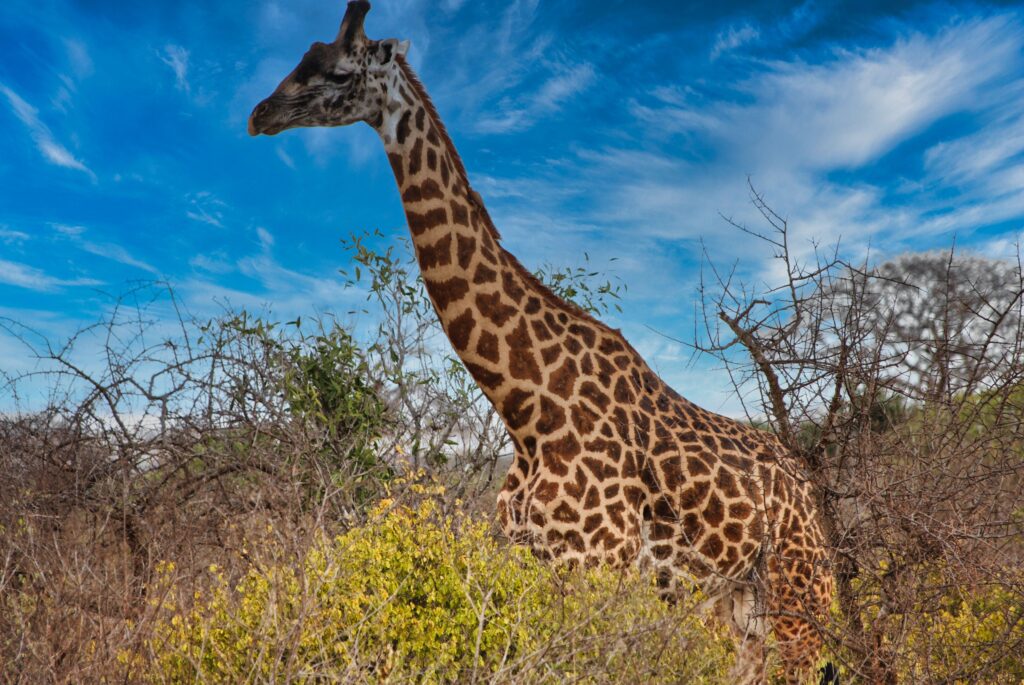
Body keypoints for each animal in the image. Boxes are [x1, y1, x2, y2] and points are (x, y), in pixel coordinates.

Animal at [247, 2, 831, 679]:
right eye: (302, 57)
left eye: (340, 73)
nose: (259, 114)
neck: (526, 405)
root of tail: (805, 482)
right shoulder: (538, 567)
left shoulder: (597, 572)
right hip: (735, 599)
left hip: (800, 591)